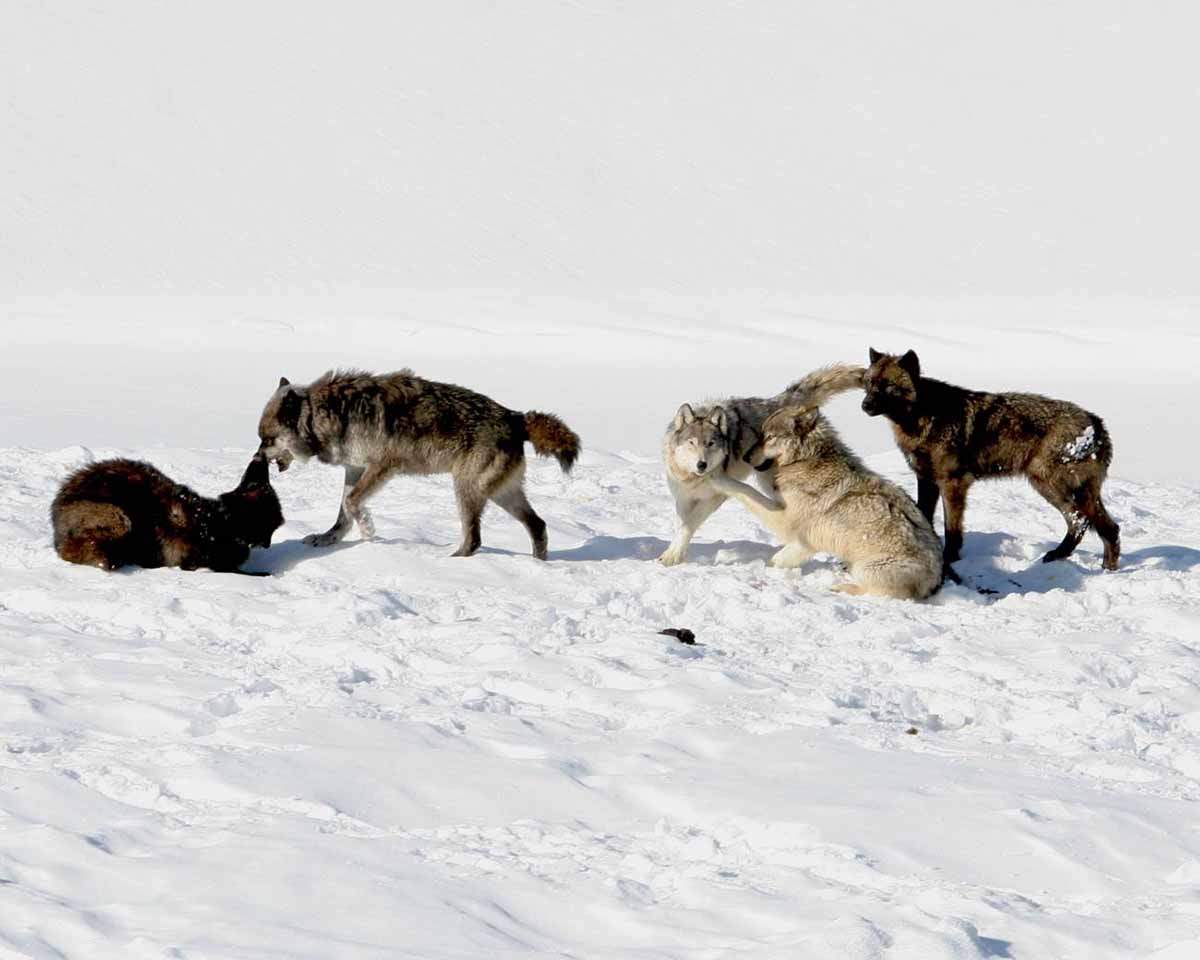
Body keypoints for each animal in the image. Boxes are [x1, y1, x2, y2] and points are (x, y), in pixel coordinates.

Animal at [255, 369, 578, 561]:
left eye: (267, 439)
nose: (256, 459)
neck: (330, 414)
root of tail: (516, 416)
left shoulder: (382, 466)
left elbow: (352, 503)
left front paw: (369, 532)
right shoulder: (355, 468)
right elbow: (343, 512)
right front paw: (327, 539)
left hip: (466, 491)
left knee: (475, 539)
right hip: (500, 494)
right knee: (538, 525)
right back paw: (538, 565)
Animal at [662, 364, 868, 566]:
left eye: (711, 444)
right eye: (691, 443)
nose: (702, 465)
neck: (692, 479)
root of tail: (780, 402)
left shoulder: (716, 497)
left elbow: (690, 523)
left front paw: (672, 557)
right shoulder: (683, 497)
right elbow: (683, 525)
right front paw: (676, 554)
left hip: (770, 483)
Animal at [700, 398, 945, 600]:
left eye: (769, 437)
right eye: (759, 435)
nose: (745, 457)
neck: (806, 460)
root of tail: (937, 579)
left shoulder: (790, 526)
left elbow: (746, 492)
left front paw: (716, 476)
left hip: (867, 569)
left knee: (877, 593)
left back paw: (839, 588)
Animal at [859, 348, 1118, 566]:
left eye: (888, 386)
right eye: (870, 383)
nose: (865, 406)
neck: (923, 417)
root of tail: (1097, 423)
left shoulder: (953, 484)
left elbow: (952, 531)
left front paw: (950, 560)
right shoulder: (926, 480)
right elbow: (924, 517)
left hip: (1047, 484)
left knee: (1081, 520)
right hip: (1066, 491)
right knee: (1108, 528)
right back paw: (1101, 565)